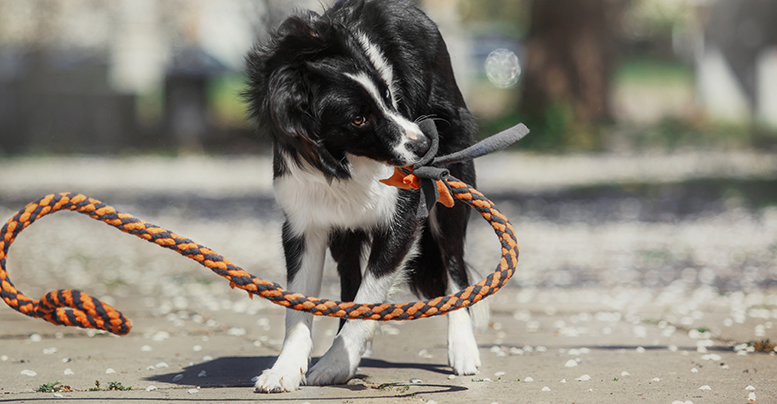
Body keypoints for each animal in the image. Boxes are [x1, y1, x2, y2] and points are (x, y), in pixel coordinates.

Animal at [246, 0, 482, 392]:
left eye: (388, 96)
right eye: (357, 119)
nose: (424, 146)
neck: (345, 159)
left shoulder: (404, 216)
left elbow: (370, 296)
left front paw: (337, 363)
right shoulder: (303, 220)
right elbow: (299, 305)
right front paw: (286, 367)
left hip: (452, 192)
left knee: (454, 264)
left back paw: (463, 348)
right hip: (343, 230)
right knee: (349, 279)